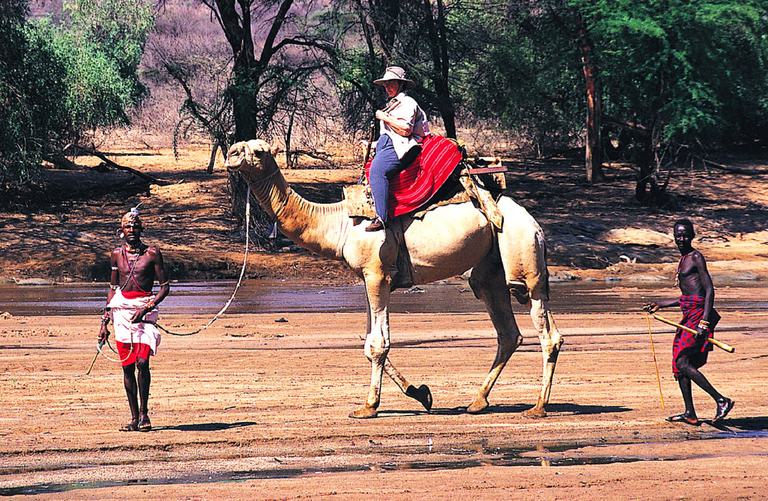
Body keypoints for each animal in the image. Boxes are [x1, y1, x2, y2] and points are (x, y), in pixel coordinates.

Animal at [225, 139, 563, 419]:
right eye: (239, 144)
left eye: (258, 150)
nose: (230, 154)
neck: (339, 223)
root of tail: (535, 224)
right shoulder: (367, 276)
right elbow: (368, 341)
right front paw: (422, 394)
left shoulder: (378, 273)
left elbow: (378, 343)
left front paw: (369, 406)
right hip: (489, 272)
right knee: (508, 333)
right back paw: (478, 401)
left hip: (522, 254)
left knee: (547, 331)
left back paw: (537, 407)